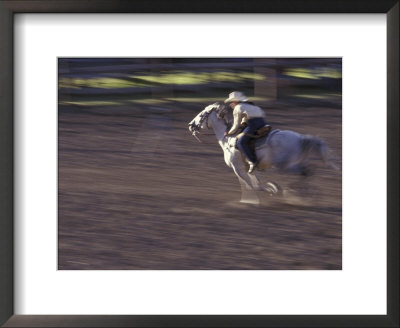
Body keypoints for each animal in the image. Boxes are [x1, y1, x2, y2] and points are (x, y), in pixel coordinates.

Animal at [188, 102, 338, 205]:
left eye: (201, 115)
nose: (190, 125)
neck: (228, 140)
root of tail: (301, 138)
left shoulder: (238, 168)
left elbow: (251, 185)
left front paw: (255, 199)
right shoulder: (249, 167)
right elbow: (256, 183)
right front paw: (271, 189)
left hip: (284, 166)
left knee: (306, 171)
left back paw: (298, 191)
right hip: (291, 164)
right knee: (308, 171)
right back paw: (303, 192)